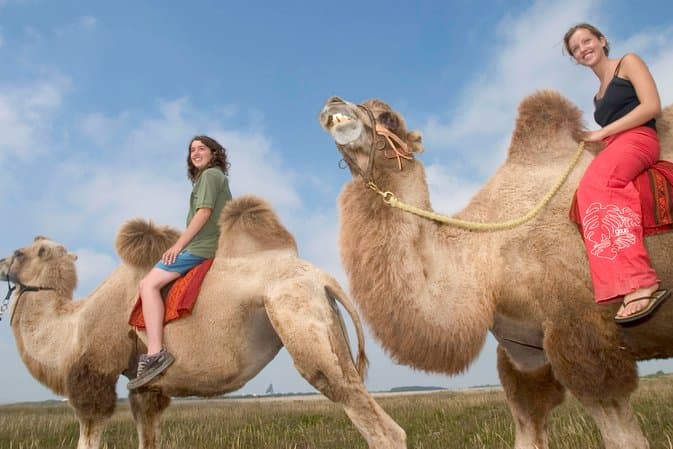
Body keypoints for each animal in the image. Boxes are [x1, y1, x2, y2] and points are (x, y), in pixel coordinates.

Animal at [0, 195, 406, 449]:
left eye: (19, 252)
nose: (2, 263)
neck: (75, 322)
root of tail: (323, 277)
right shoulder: (146, 388)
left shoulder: (96, 374)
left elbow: (88, 434)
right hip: (324, 319)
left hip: (297, 314)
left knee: (379, 426)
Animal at [319, 91, 673, 449]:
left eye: (388, 117)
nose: (334, 102)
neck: (487, 260)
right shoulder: (524, 357)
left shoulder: (583, 335)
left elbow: (623, 436)